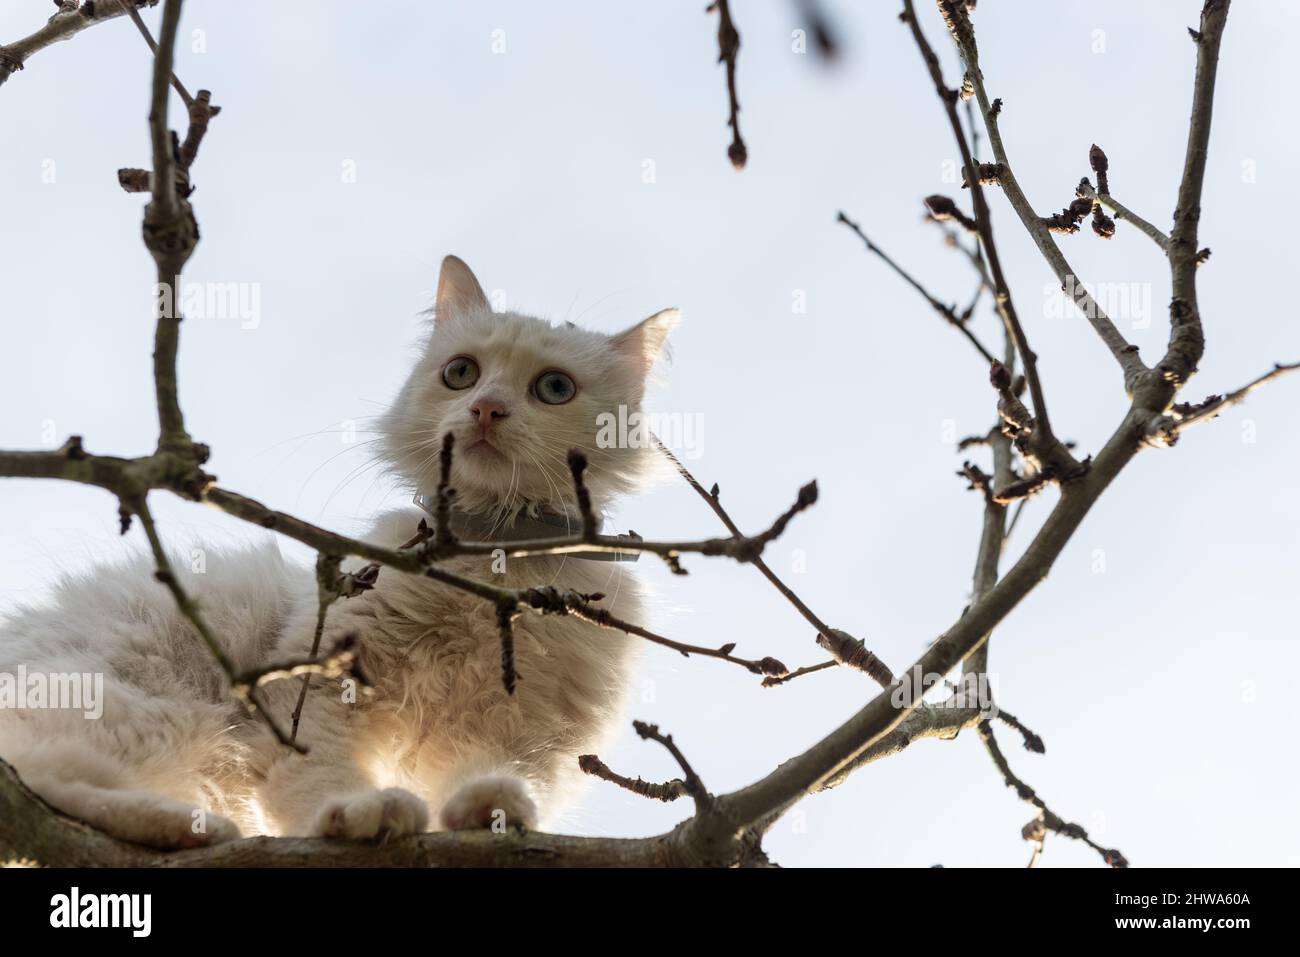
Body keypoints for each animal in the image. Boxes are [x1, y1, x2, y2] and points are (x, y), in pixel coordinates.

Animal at [0, 257, 670, 847]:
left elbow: (493, 776)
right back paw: (189, 828)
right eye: (462, 374)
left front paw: (489, 810)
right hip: (158, 711)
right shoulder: (323, 681)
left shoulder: (524, 733)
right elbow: (316, 772)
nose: (487, 409)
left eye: (554, 388)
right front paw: (358, 810)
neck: (491, 562)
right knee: (50, 782)